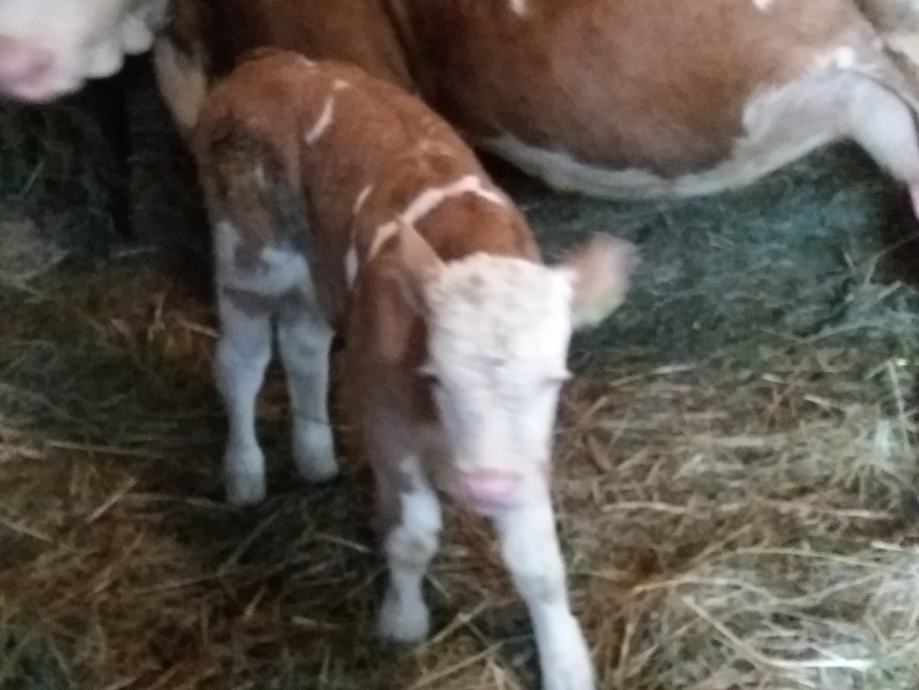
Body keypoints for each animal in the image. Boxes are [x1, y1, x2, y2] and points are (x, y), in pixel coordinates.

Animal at [193, 48, 637, 690]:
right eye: (437, 376)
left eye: (552, 382)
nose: (489, 487)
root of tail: (271, 62)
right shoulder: (386, 418)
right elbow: (412, 537)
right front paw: (402, 623)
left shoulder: (523, 454)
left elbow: (540, 565)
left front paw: (567, 664)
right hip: (247, 258)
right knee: (241, 363)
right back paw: (245, 472)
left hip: (315, 275)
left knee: (303, 346)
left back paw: (315, 455)